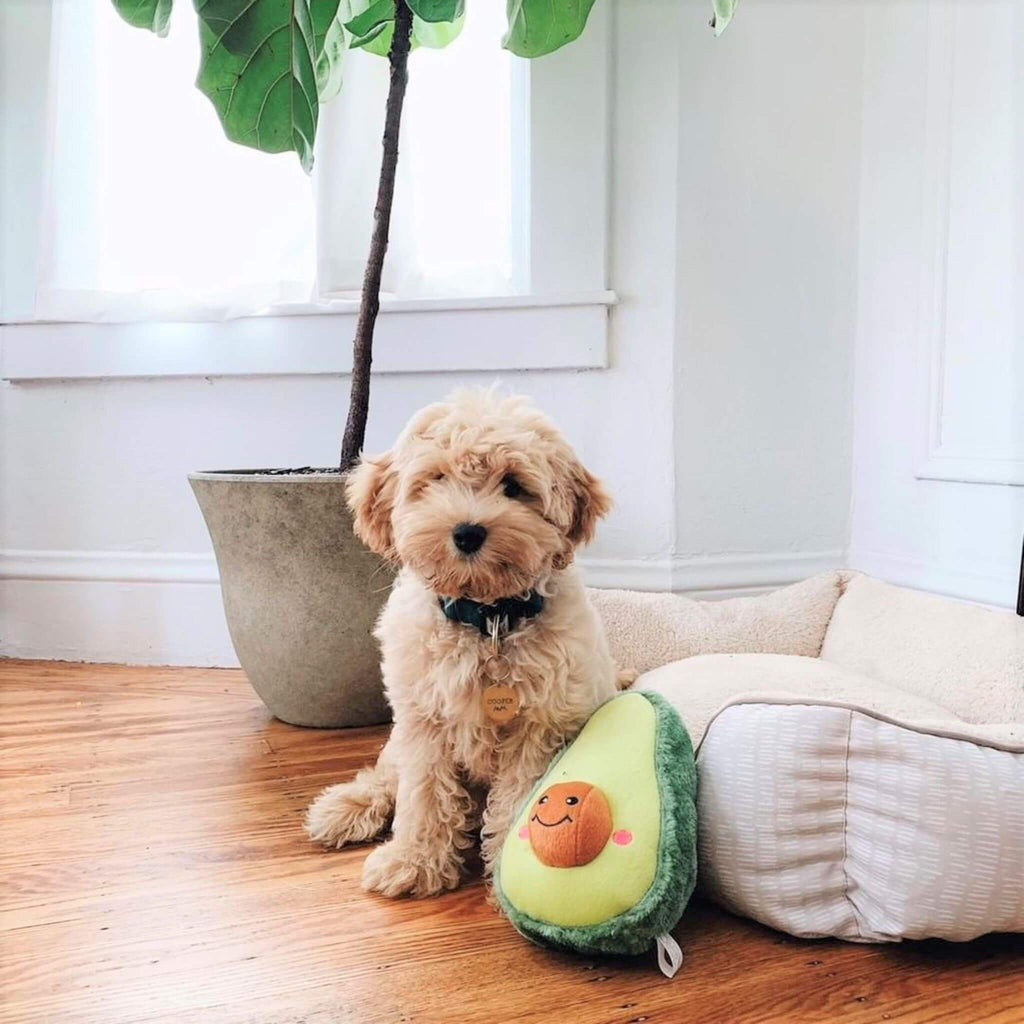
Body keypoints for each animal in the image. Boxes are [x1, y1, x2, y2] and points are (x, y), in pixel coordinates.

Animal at [303, 389, 614, 897]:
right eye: (437, 478)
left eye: (513, 485)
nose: (467, 532)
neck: (486, 618)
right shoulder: (424, 720)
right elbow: (423, 793)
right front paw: (413, 861)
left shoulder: (539, 728)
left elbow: (518, 797)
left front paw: (511, 868)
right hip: (399, 734)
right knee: (385, 775)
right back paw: (346, 808)